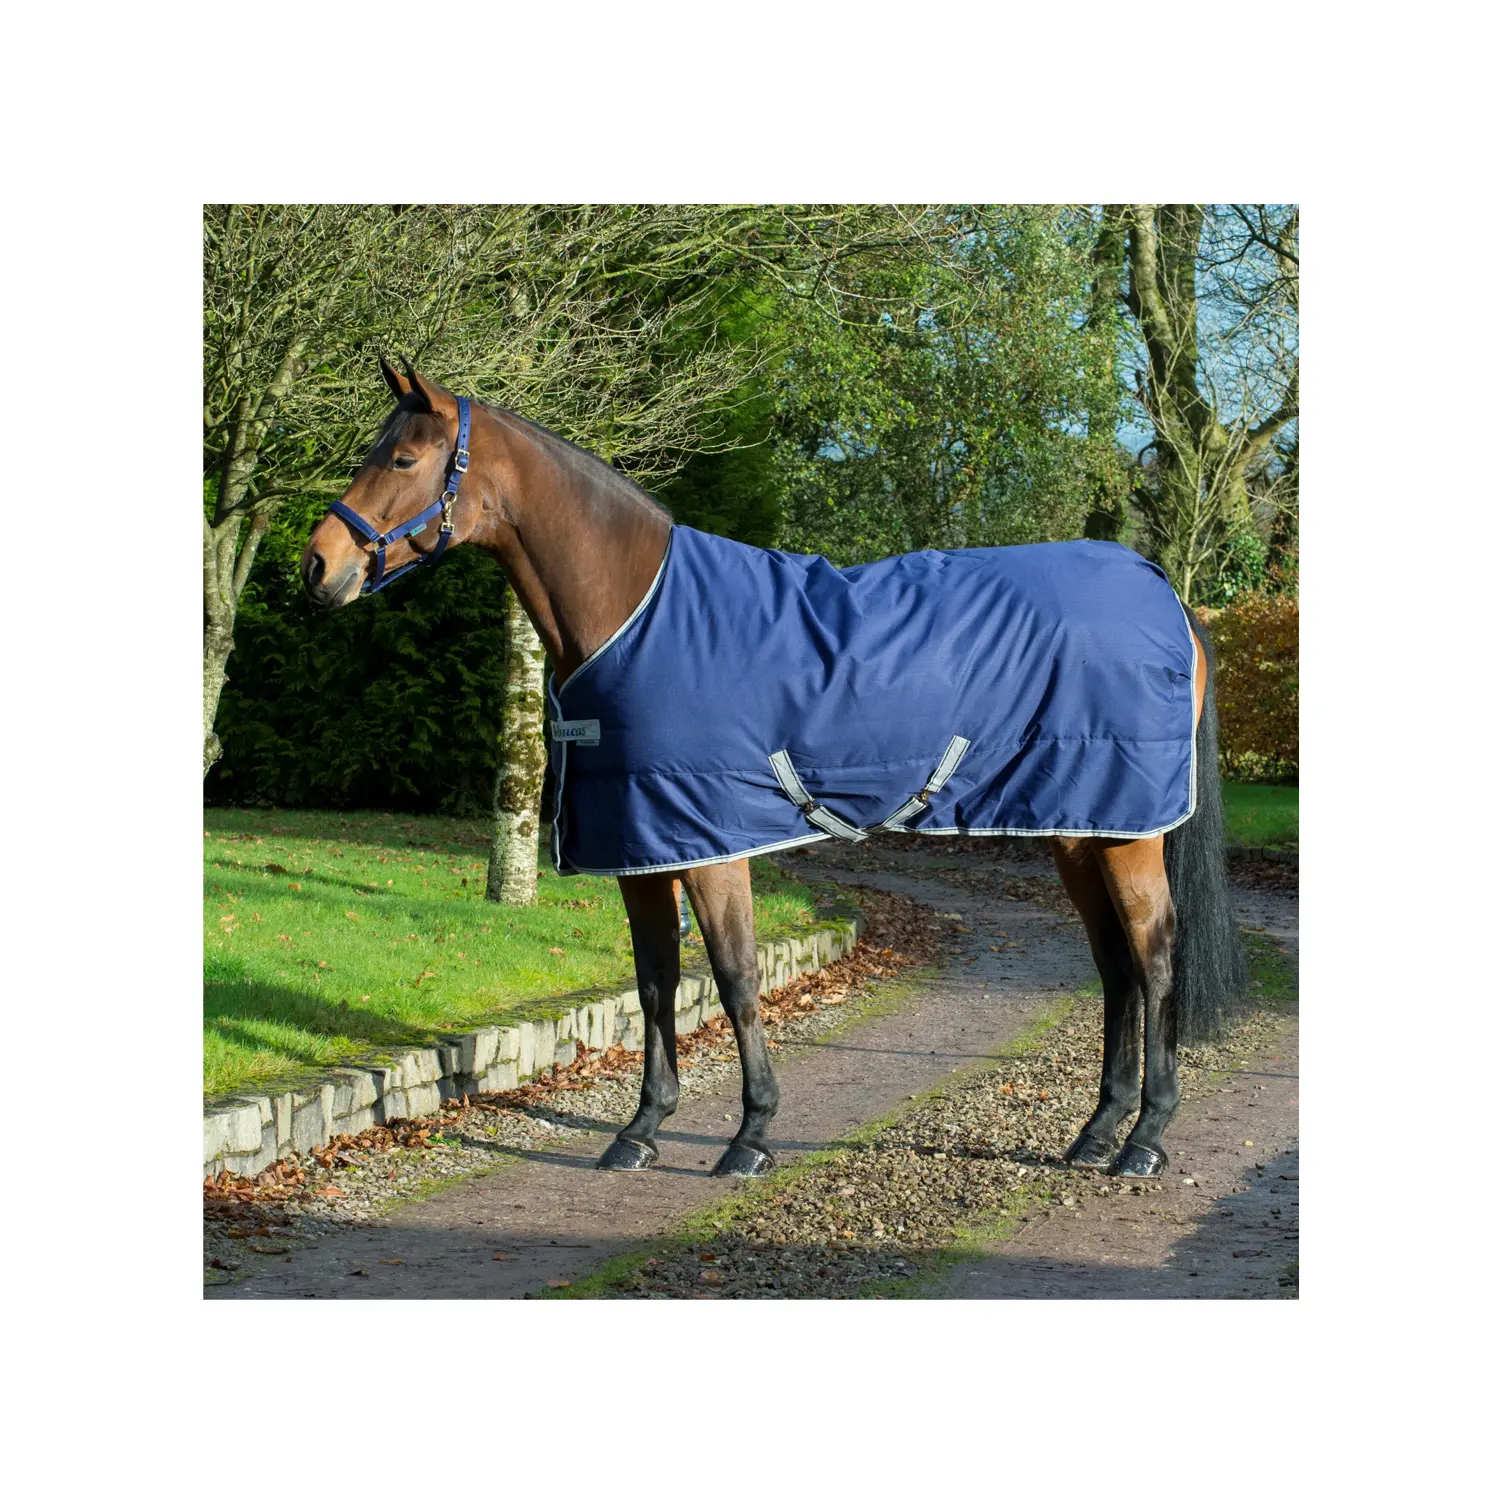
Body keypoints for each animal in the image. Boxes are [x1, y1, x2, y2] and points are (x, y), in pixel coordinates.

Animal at [301, 358, 1247, 1181]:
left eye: (403, 458)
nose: (317, 567)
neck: (635, 610)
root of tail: (1165, 590)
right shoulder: (643, 850)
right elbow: (655, 986)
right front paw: (641, 1130)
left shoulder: (712, 843)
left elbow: (736, 980)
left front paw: (750, 1136)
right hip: (1080, 830)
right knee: (1115, 966)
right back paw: (1095, 1133)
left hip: (1123, 835)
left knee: (1155, 960)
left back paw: (1144, 1139)